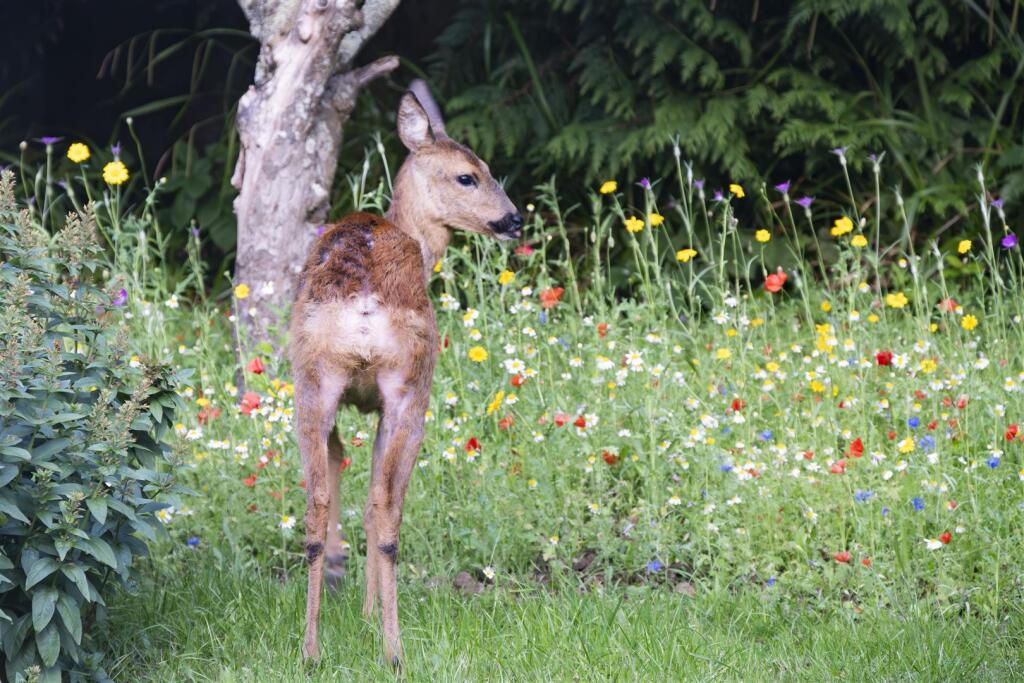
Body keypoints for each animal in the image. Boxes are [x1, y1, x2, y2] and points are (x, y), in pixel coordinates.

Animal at [288, 80, 522, 666]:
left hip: (311, 378)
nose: (514, 220)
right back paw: (393, 651)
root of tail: (362, 304)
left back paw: (311, 650)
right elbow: (378, 502)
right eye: (468, 175)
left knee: (316, 507)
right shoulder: (390, 397)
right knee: (388, 510)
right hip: (413, 385)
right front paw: (372, 616)